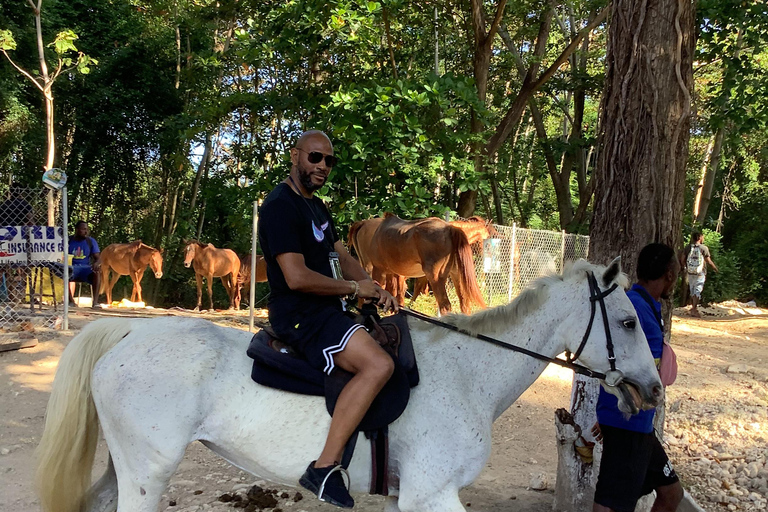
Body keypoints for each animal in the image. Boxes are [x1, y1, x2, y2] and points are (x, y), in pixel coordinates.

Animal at [36, 258, 664, 512]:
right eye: (630, 322)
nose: (654, 391)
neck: (469, 374)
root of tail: (127, 334)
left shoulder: (411, 497)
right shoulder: (431, 494)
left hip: (127, 466)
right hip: (148, 471)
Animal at [350, 213, 486, 316]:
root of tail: (450, 229)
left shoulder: (382, 271)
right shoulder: (393, 274)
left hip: (436, 278)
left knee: (445, 305)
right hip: (454, 275)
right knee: (464, 304)